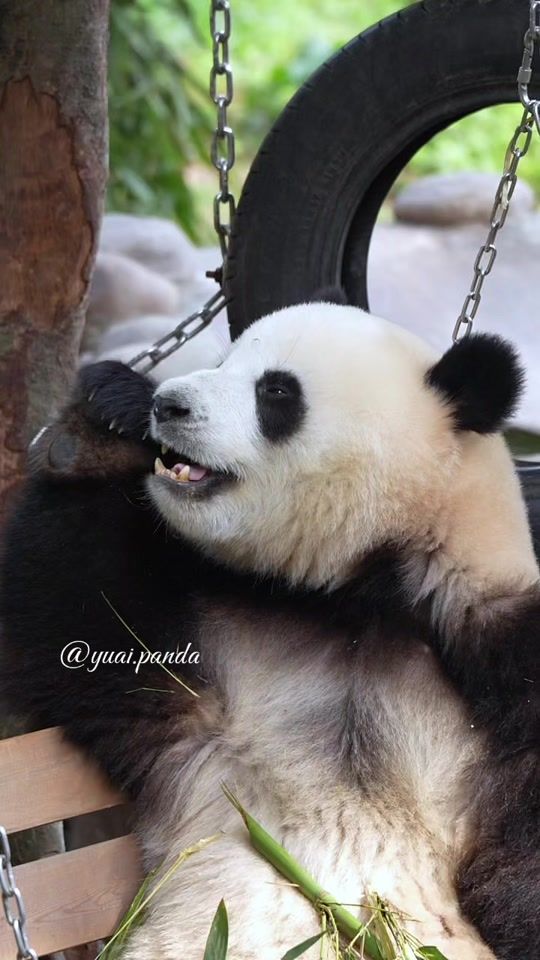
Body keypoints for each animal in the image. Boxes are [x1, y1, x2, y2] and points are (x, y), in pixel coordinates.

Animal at [0, 299, 538, 960]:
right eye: (223, 360)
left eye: (276, 391)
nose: (169, 405)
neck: (359, 592)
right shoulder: (205, 664)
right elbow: (76, 612)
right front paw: (104, 419)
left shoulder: (504, 656)